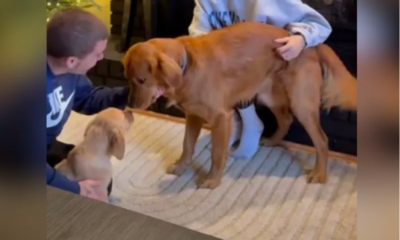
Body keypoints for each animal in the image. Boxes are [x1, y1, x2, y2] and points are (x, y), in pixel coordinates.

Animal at [121, 21, 356, 188]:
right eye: (128, 79)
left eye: (142, 80)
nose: (130, 104)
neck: (187, 66)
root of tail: (313, 47)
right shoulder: (193, 115)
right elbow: (187, 145)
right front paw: (180, 167)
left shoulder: (220, 117)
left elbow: (217, 153)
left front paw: (213, 180)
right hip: (268, 94)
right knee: (285, 119)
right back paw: (272, 141)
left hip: (301, 104)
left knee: (322, 140)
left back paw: (320, 174)